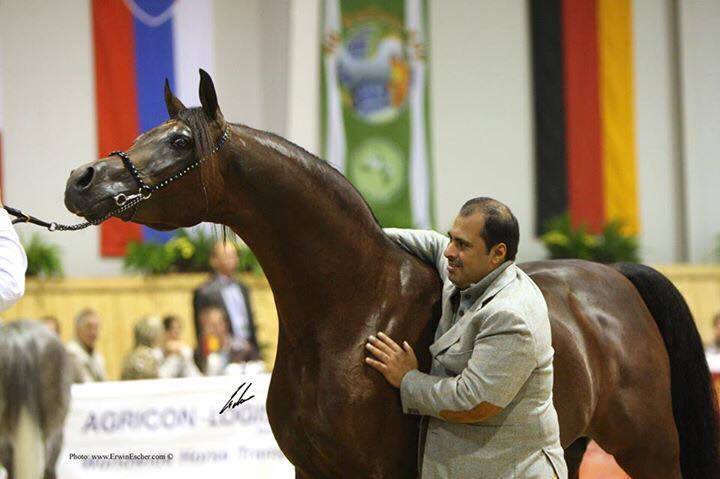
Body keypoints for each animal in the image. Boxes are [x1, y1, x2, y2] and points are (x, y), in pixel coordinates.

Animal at [64, 70, 719, 478]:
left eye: (179, 141)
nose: (81, 179)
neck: (351, 312)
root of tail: (617, 280)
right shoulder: (310, 471)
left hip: (650, 447)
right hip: (573, 441)